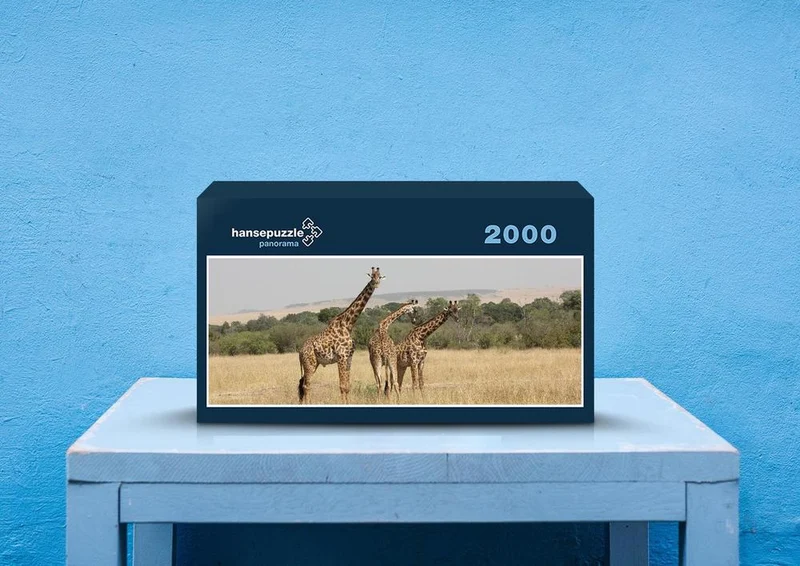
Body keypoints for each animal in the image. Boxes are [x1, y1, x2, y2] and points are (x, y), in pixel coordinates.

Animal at [297, 267, 384, 404]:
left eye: (379, 276)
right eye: (371, 276)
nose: (376, 283)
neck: (348, 324)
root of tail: (300, 351)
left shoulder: (349, 358)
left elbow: (347, 386)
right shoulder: (342, 357)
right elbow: (342, 386)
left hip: (314, 363)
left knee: (304, 384)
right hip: (309, 363)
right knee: (306, 385)